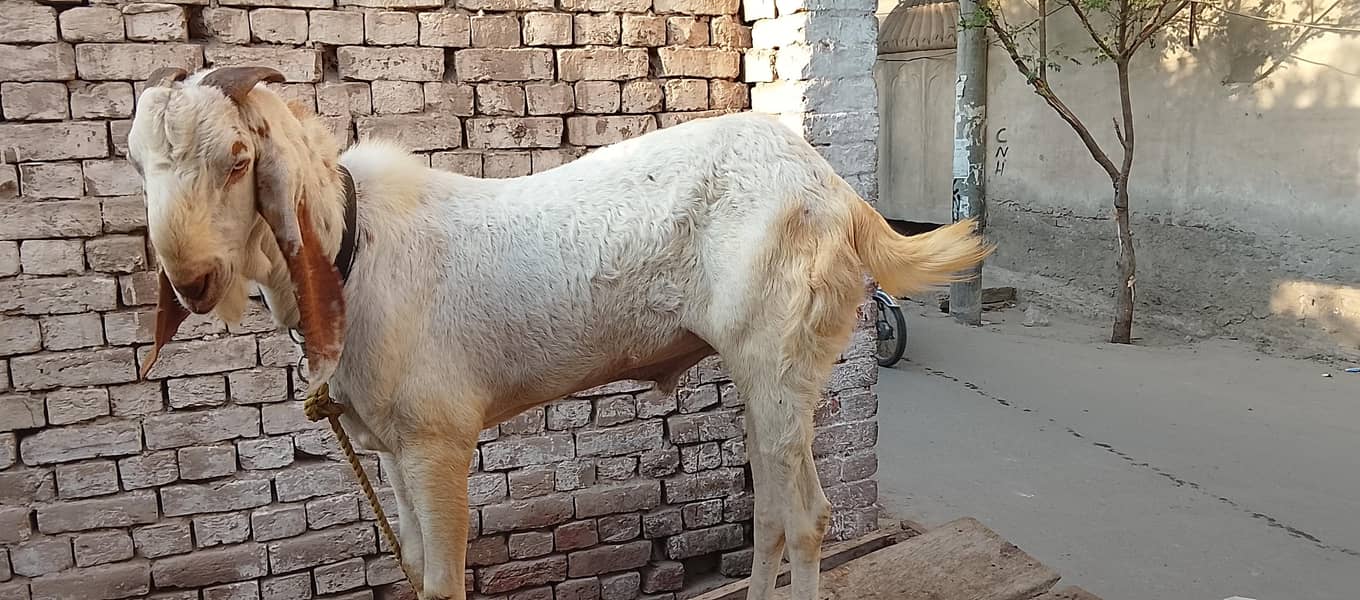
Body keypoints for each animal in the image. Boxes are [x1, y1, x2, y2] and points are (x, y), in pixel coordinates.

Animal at [130, 65, 992, 600]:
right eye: (139, 165)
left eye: (238, 159)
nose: (190, 280)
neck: (353, 252)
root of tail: (837, 191)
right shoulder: (391, 449)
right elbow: (415, 567)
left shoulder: (439, 442)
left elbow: (445, 579)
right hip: (761, 368)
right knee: (775, 509)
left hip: (783, 354)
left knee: (808, 516)